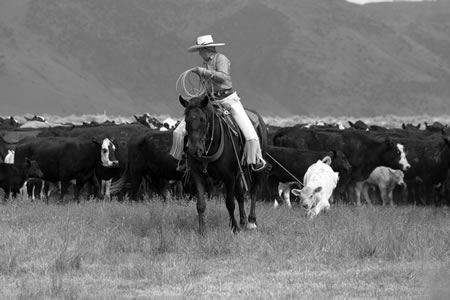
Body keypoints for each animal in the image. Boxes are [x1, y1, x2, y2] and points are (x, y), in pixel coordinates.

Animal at [181, 94, 268, 234]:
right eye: (186, 120)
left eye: (203, 119)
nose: (194, 150)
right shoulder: (197, 174)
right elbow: (200, 204)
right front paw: (202, 229)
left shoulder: (229, 176)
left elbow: (230, 203)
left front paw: (234, 228)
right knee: (240, 195)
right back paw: (243, 221)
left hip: (255, 167)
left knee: (254, 190)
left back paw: (251, 221)